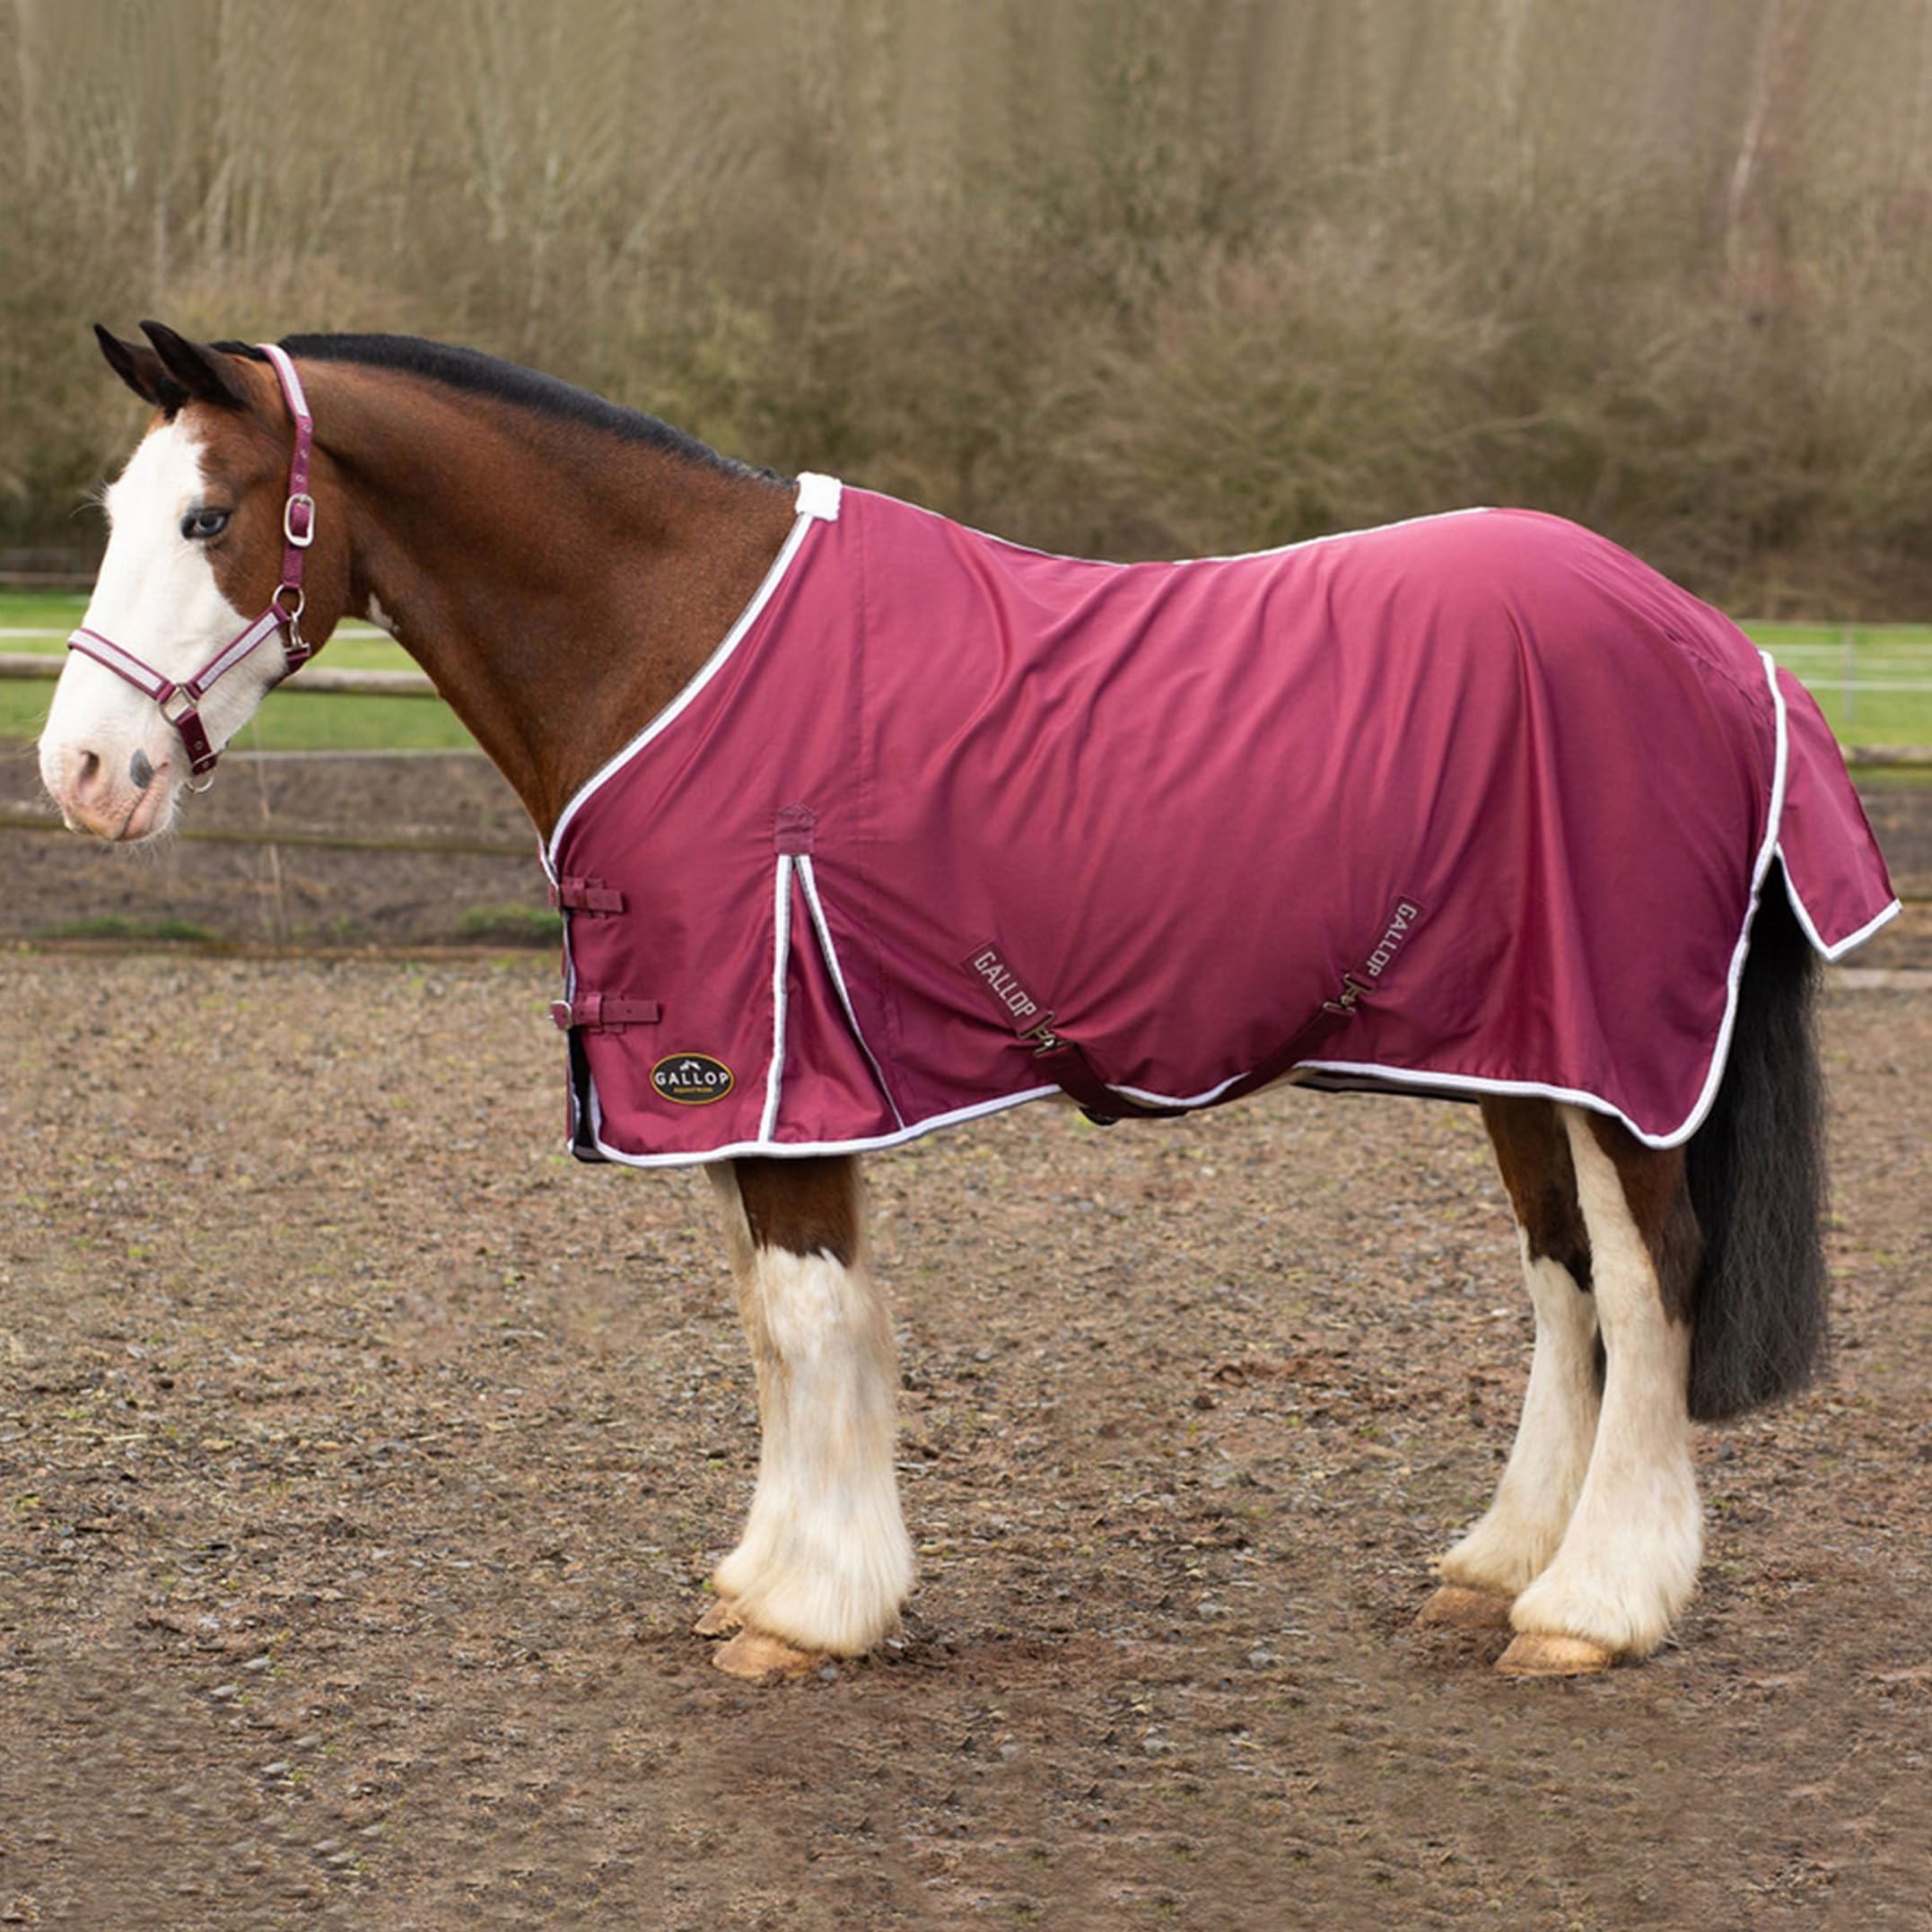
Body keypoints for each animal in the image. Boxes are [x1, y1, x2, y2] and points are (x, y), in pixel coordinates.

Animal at [38, 322, 1898, 1682]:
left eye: (209, 519)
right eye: (116, 517)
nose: (78, 773)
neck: (669, 636)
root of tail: (1722, 649)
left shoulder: (767, 1059)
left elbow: (807, 1318)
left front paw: (813, 1612)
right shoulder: (748, 1079)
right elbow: (778, 1325)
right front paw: (768, 1576)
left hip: (1614, 1057)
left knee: (1648, 1279)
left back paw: (1592, 1607)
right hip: (1520, 1050)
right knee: (1564, 1279)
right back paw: (1500, 1566)